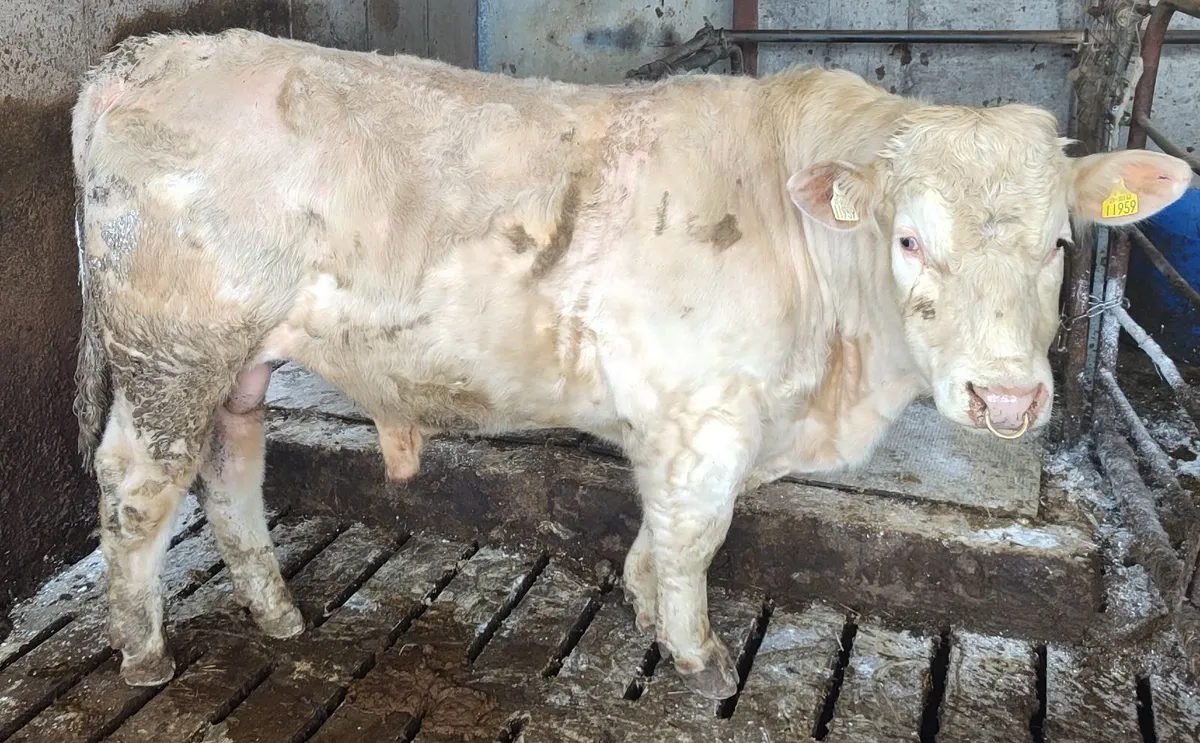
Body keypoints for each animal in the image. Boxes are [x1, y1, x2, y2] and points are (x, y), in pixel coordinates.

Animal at [70, 28, 1192, 700]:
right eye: (911, 239)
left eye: (1061, 243)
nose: (1007, 395)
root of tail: (143, 55)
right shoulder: (706, 416)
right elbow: (698, 535)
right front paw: (700, 656)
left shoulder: (671, 423)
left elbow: (658, 534)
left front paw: (651, 610)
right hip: (170, 351)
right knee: (135, 487)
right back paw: (141, 648)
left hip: (235, 366)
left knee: (230, 472)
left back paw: (278, 613)